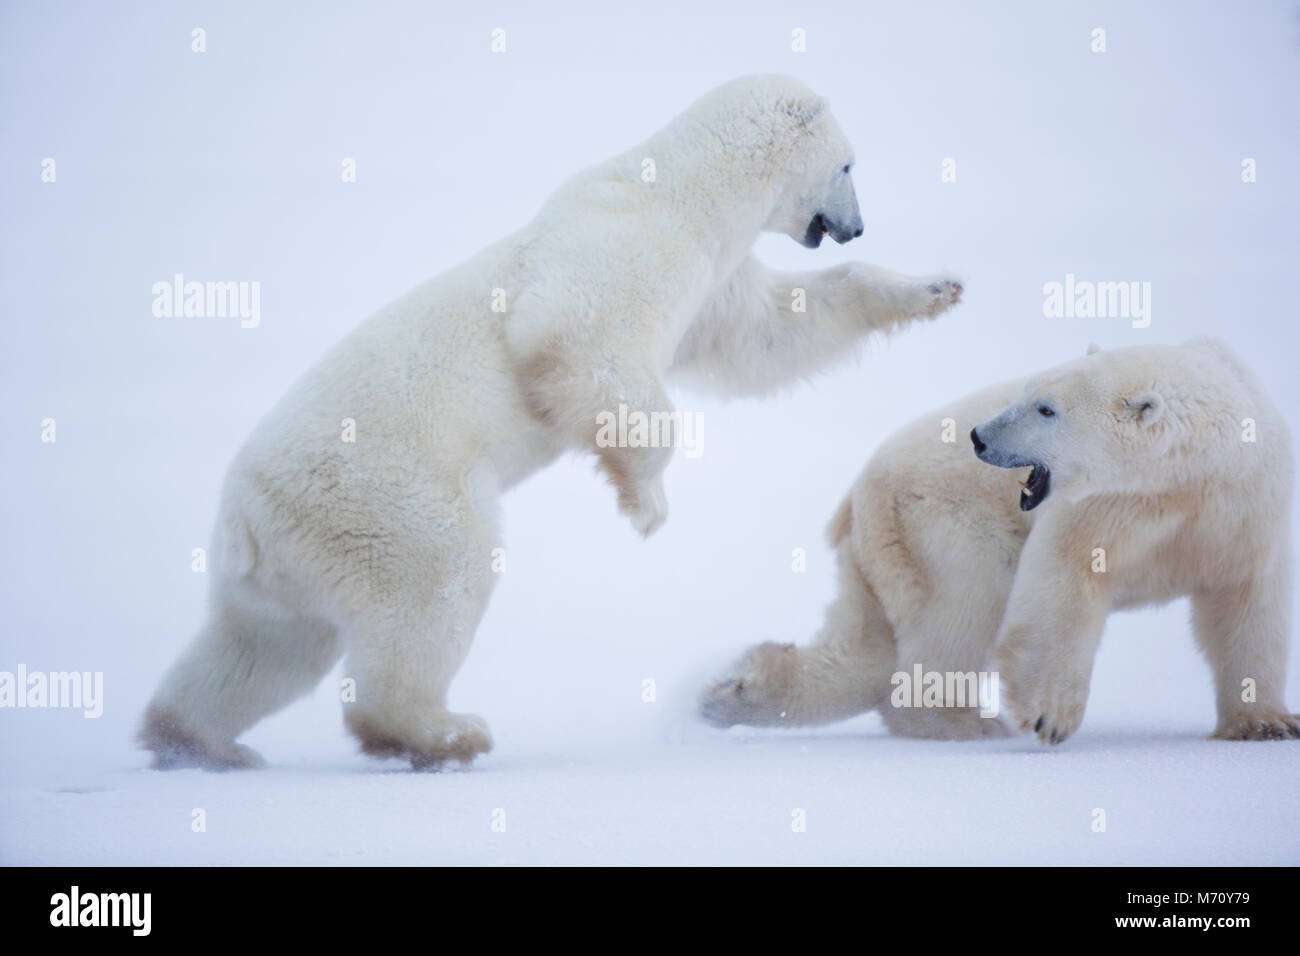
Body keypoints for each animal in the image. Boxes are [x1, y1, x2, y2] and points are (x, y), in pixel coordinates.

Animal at [139, 78, 967, 775]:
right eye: (848, 165)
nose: (857, 228)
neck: (684, 192)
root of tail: (248, 513)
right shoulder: (627, 248)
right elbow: (580, 337)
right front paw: (644, 503)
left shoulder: (712, 281)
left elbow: (771, 332)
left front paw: (936, 287)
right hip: (388, 499)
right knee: (436, 589)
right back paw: (444, 733)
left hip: (291, 560)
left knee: (262, 650)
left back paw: (197, 740)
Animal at [707, 343, 1294, 749]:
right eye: (1027, 394)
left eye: (1046, 409)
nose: (978, 437)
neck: (1197, 475)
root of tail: (858, 493)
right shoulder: (1108, 507)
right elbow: (1065, 572)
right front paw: (1047, 715)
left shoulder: (1245, 509)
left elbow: (1249, 603)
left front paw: (1263, 722)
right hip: (937, 522)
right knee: (965, 604)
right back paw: (962, 720)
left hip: (882, 550)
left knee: (864, 645)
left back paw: (737, 692)